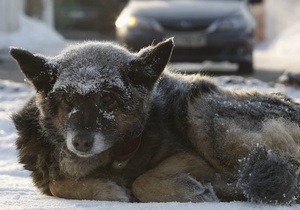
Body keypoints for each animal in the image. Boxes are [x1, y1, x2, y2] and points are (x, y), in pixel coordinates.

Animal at [9, 39, 300, 203]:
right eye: (68, 100)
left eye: (107, 98)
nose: (80, 143)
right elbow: (56, 184)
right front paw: (107, 190)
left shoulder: (191, 158)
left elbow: (142, 180)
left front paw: (189, 192)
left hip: (201, 114)